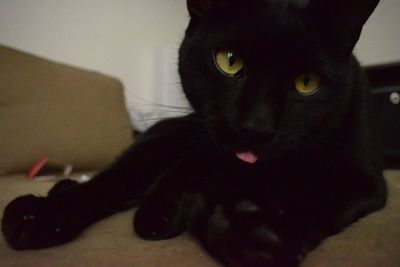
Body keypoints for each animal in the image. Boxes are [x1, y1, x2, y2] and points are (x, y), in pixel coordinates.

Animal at [0, 0, 388, 267]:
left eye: (307, 83)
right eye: (229, 61)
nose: (255, 126)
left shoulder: (364, 179)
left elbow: (319, 197)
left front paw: (255, 233)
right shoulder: (200, 152)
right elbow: (183, 176)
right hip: (162, 141)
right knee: (111, 181)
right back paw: (40, 215)